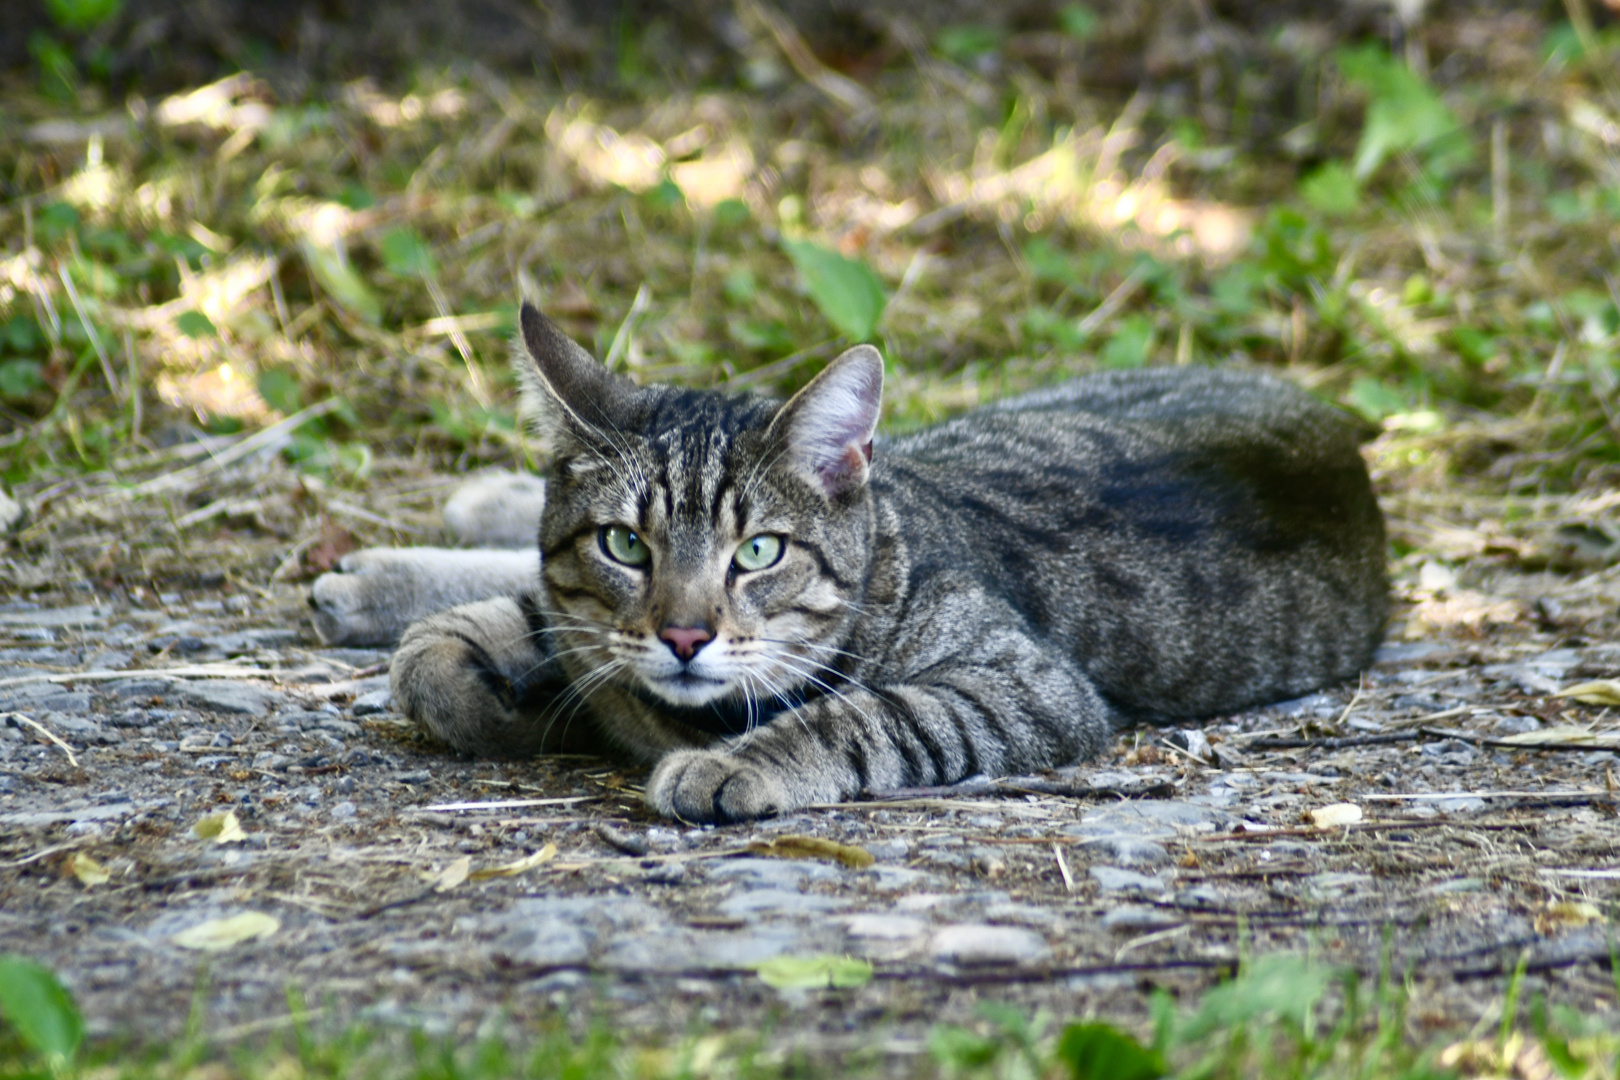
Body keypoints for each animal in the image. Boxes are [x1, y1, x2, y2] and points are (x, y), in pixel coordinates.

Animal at [372, 307, 1386, 822]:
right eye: (626, 544)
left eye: (759, 552)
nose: (686, 635)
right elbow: (470, 637)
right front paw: (473, 667)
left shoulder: (1025, 685)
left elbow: (872, 714)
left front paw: (739, 763)